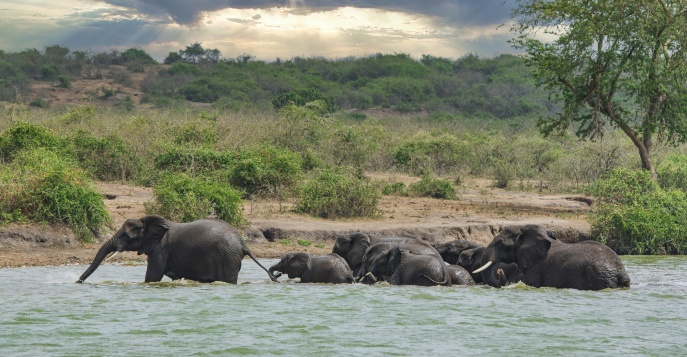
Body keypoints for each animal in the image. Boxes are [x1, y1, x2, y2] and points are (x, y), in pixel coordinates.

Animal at [76, 214, 276, 284]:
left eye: (127, 236)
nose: (78, 281)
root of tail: (243, 243)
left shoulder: (160, 250)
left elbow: (153, 276)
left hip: (228, 257)